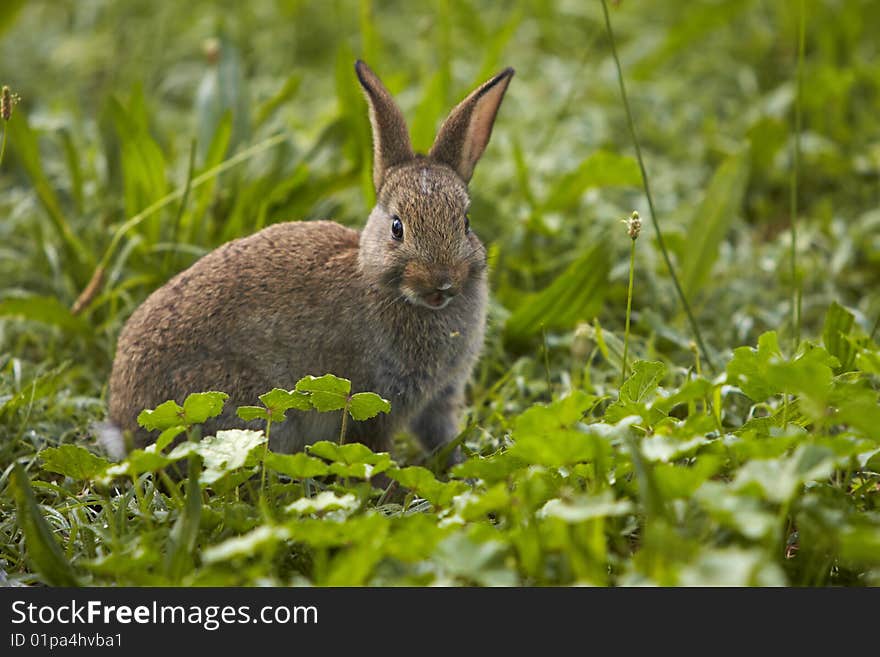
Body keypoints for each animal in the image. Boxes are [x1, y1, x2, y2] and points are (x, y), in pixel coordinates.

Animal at [101, 59, 516, 464]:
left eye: (465, 223)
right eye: (397, 228)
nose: (441, 281)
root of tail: (126, 422)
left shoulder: (440, 398)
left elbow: (441, 439)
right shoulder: (372, 401)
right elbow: (372, 452)